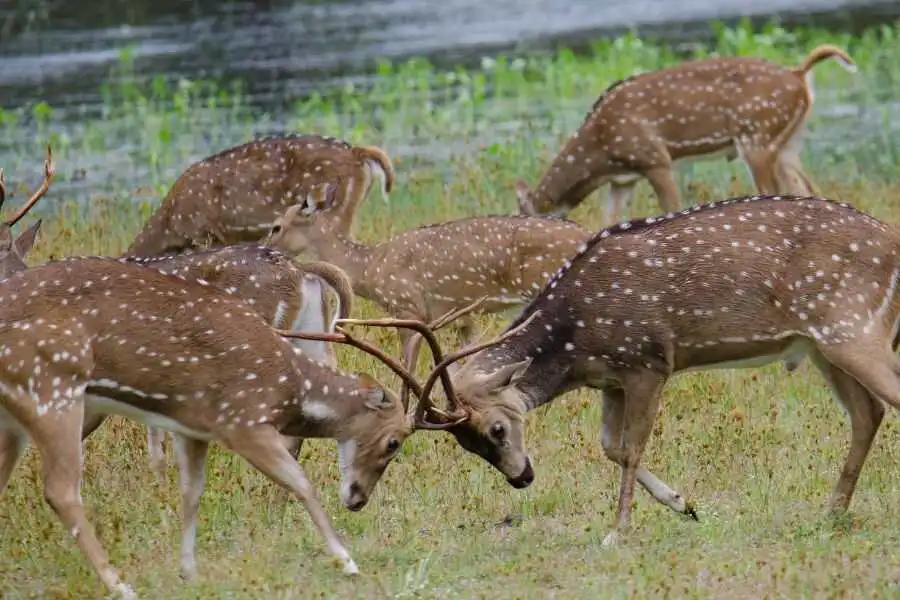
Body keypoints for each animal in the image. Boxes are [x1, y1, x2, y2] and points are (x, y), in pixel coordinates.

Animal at [264, 183, 591, 373]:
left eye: (276, 226)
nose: (265, 249)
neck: (370, 268)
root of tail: (587, 233)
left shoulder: (409, 308)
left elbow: (406, 369)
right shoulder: (461, 317)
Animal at [411, 193, 900, 548]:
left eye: (496, 429)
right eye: (465, 444)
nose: (521, 478)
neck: (573, 340)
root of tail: (891, 241)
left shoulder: (647, 360)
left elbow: (630, 449)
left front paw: (619, 530)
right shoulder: (610, 379)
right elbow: (609, 445)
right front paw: (685, 504)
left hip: (851, 327)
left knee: (884, 401)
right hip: (821, 344)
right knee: (868, 412)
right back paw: (833, 510)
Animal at [515, 44, 857, 225]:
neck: (600, 152)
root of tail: (799, 76)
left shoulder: (655, 158)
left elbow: (671, 208)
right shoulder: (623, 179)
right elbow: (609, 220)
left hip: (757, 137)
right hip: (788, 143)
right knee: (808, 189)